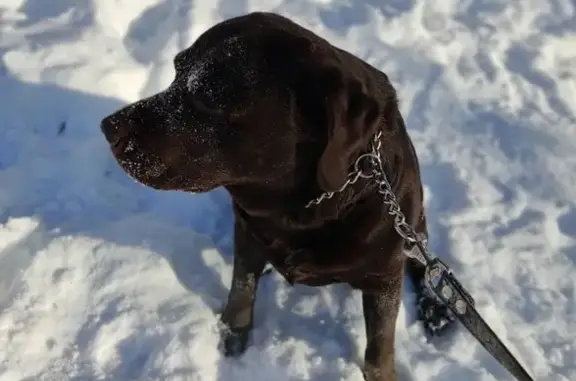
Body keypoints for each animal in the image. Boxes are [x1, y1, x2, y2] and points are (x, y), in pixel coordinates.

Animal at [100, 11, 454, 380]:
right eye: (176, 70)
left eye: (207, 99)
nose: (108, 126)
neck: (302, 211)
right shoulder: (246, 232)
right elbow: (241, 288)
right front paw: (232, 332)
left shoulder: (383, 279)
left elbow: (379, 349)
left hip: (413, 225)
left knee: (426, 264)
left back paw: (436, 306)